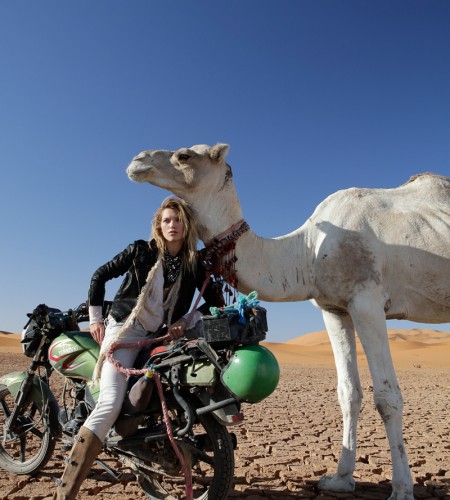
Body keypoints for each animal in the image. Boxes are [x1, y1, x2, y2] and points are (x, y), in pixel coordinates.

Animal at [125, 143, 450, 498]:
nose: (137, 160)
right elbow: (348, 392)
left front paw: (402, 488)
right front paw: (339, 480)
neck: (306, 251)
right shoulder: (335, 308)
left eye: (184, 155)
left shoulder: (367, 300)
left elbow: (387, 398)